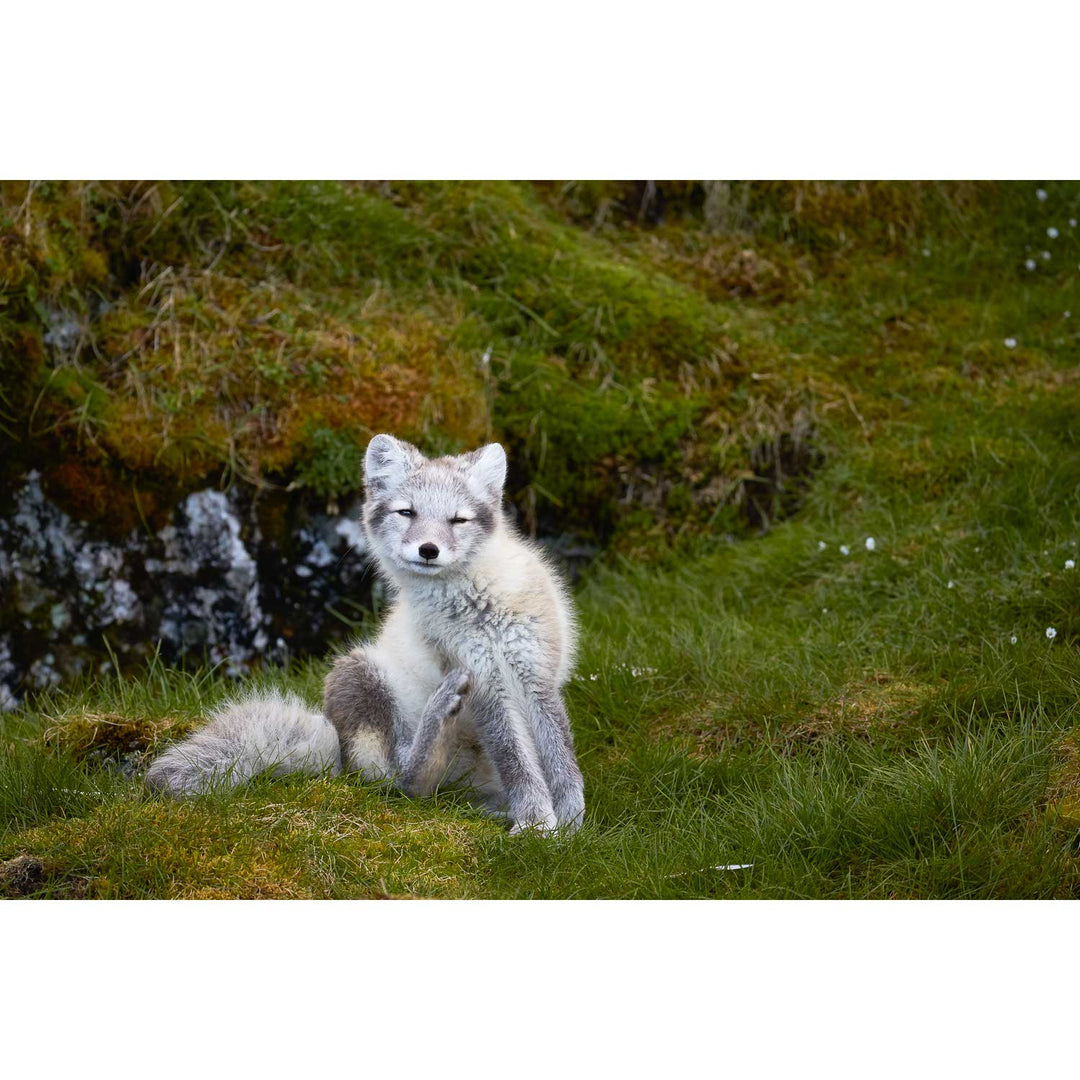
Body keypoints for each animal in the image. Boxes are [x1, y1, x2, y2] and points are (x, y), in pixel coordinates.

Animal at [146, 432, 587, 833]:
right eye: (407, 513)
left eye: (458, 519)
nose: (429, 550)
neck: (481, 605)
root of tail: (337, 754)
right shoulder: (483, 683)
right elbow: (515, 760)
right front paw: (535, 822)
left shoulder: (537, 674)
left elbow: (560, 756)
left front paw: (568, 821)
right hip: (358, 671)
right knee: (402, 784)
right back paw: (441, 716)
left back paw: (492, 807)